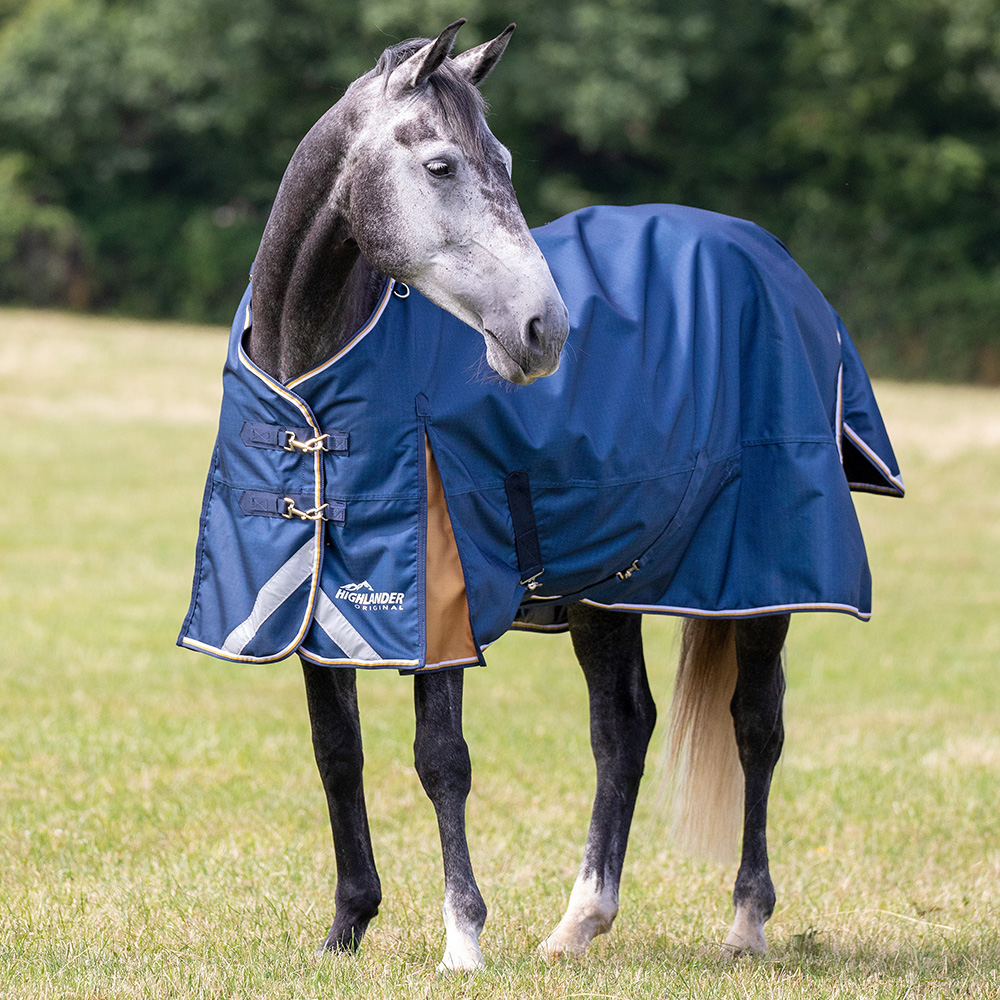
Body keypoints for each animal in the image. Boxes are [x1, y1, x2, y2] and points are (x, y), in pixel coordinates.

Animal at [179, 20, 902, 972]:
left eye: (509, 162)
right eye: (442, 165)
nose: (545, 330)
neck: (316, 380)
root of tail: (773, 262)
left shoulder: (439, 603)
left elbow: (440, 759)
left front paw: (462, 941)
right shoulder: (311, 600)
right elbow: (338, 755)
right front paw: (346, 931)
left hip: (756, 583)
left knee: (756, 726)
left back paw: (746, 921)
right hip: (609, 587)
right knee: (623, 730)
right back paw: (579, 922)